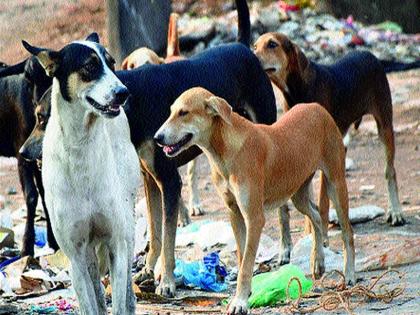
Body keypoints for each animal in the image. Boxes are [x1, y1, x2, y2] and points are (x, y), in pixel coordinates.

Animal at [0, 56, 57, 256]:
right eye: (29, 76)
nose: (42, 107)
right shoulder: (22, 154)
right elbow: (32, 196)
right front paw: (26, 247)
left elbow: (46, 193)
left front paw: (54, 242)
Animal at [23, 33, 139, 314]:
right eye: (89, 66)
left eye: (112, 63)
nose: (123, 93)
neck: (81, 146)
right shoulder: (75, 255)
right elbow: (90, 303)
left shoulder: (116, 244)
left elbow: (119, 301)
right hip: (87, 254)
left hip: (127, 224)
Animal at [154, 87, 354, 315]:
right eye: (171, 111)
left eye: (184, 113)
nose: (157, 138)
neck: (225, 150)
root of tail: (316, 107)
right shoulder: (234, 212)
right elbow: (243, 259)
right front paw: (245, 294)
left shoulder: (254, 218)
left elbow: (247, 263)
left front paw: (240, 302)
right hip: (298, 193)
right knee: (316, 215)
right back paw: (318, 261)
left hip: (336, 184)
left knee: (347, 233)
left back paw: (349, 274)